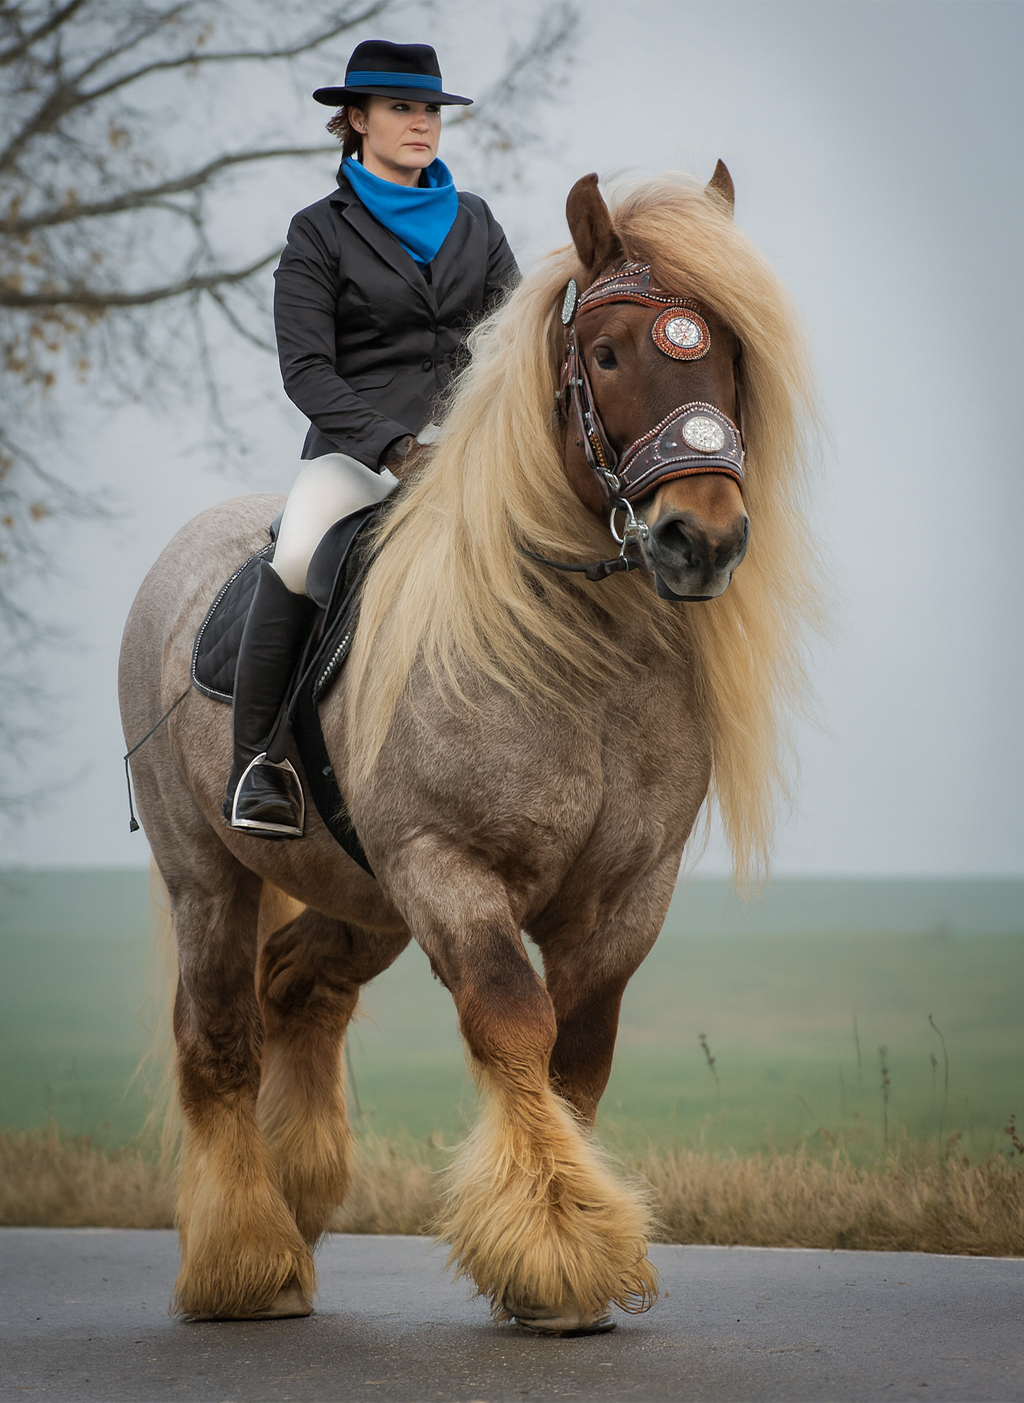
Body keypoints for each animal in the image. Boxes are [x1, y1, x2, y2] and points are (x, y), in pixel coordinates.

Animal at [118, 167, 817, 1333]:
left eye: (725, 348)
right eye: (607, 353)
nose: (703, 537)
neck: (582, 657)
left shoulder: (625, 893)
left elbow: (578, 1054)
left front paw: (566, 1246)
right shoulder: (449, 867)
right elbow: (513, 1024)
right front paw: (556, 1251)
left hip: (364, 902)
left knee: (297, 989)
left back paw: (296, 1206)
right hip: (210, 876)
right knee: (218, 1038)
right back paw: (247, 1263)